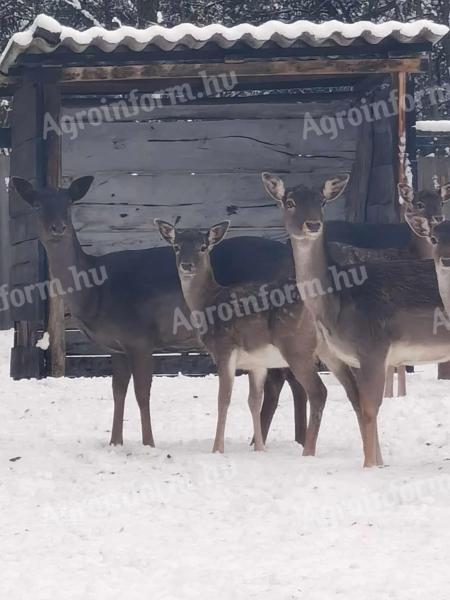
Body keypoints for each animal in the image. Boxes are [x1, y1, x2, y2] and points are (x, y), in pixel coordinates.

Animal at [260, 172, 450, 468]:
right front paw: (378, 462)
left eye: (322, 201)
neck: (339, 305)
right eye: (289, 202)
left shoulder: (373, 347)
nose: (313, 224)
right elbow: (360, 404)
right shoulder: (352, 357)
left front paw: (369, 465)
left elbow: (370, 408)